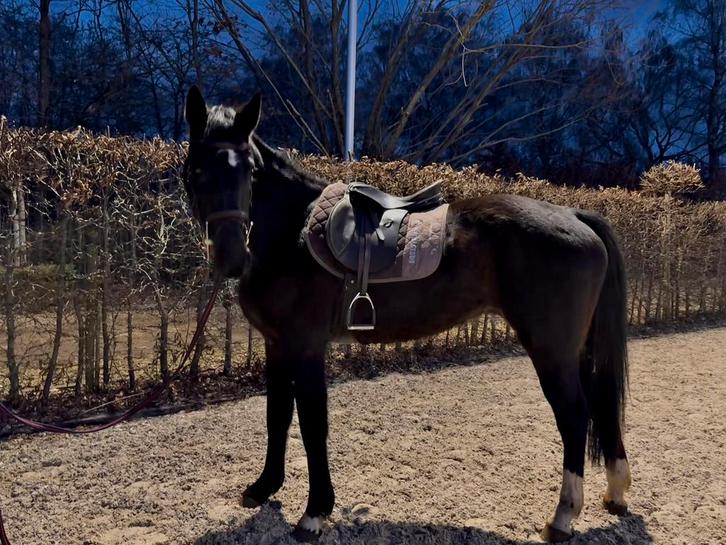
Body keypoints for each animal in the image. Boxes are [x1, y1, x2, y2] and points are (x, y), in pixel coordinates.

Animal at [182, 86, 632, 542]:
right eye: (196, 169)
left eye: (250, 171)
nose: (231, 257)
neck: (292, 235)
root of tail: (574, 214)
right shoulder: (277, 346)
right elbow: (277, 417)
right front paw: (264, 488)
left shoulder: (305, 348)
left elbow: (311, 425)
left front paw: (314, 513)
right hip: (575, 349)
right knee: (599, 407)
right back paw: (615, 494)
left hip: (551, 350)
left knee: (575, 415)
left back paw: (563, 517)